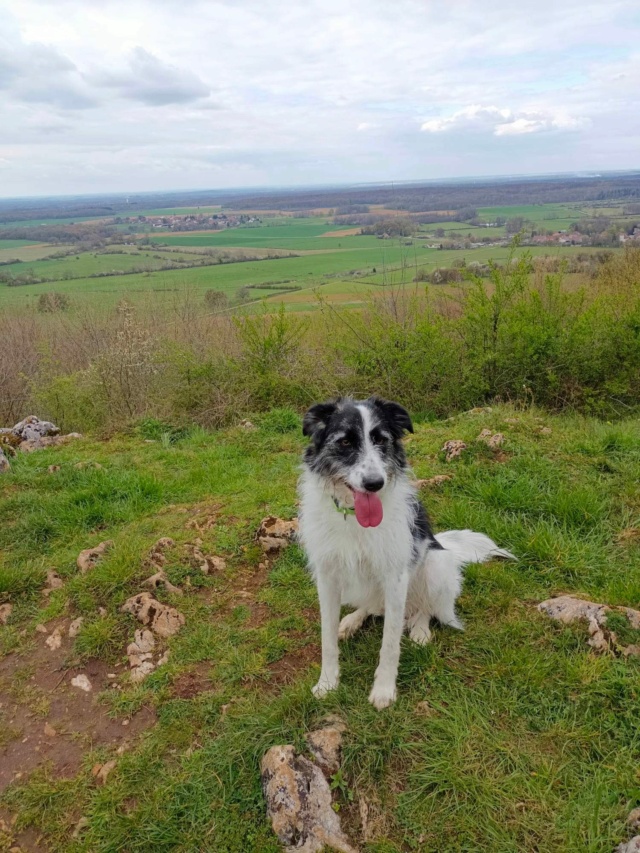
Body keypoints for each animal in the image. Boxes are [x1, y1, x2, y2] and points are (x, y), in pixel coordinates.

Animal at [298, 396, 516, 708]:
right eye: (345, 442)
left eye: (381, 439)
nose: (375, 483)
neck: (354, 518)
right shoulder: (327, 577)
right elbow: (326, 639)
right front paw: (327, 683)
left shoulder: (396, 577)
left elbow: (390, 642)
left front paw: (384, 689)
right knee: (371, 606)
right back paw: (352, 620)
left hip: (436, 564)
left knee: (423, 607)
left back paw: (420, 630)